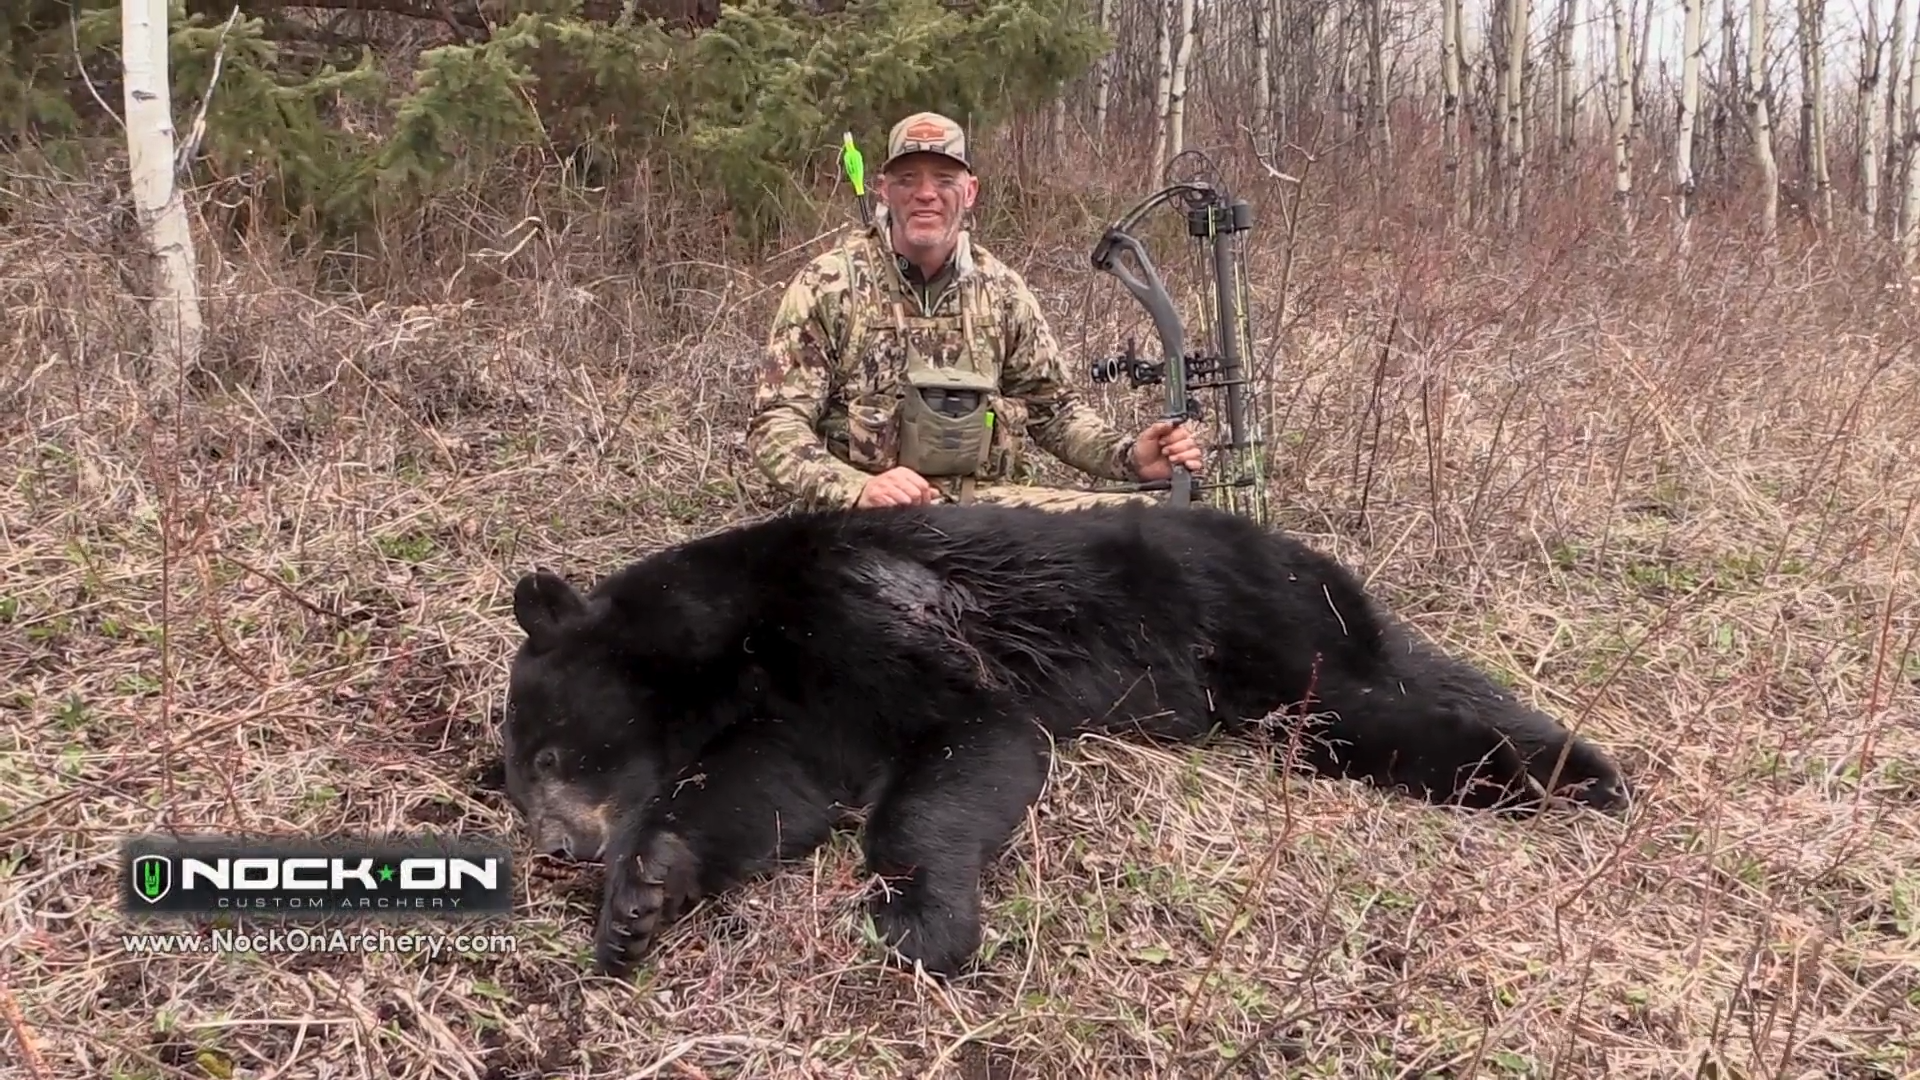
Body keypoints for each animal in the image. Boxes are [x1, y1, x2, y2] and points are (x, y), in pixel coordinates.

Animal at [496, 500, 1630, 981]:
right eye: (513, 782)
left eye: (548, 752)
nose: (555, 845)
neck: (737, 630)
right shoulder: (799, 703)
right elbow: (770, 786)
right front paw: (639, 902)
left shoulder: (863, 621)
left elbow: (968, 744)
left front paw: (922, 921)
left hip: (1261, 629)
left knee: (1380, 707)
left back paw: (1577, 777)